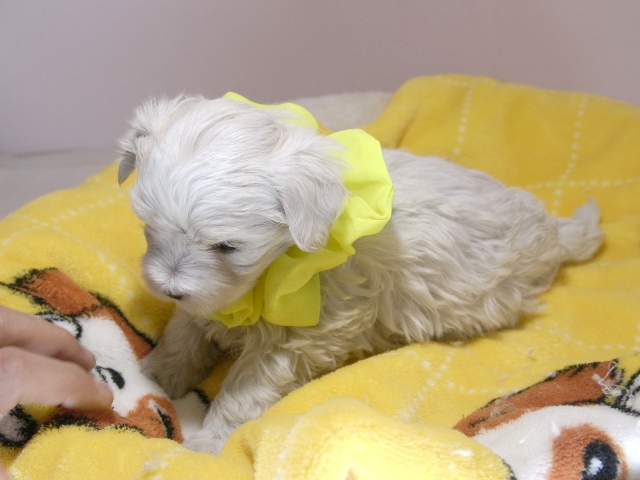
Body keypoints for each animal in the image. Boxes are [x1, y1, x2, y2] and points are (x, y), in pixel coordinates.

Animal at [118, 94, 604, 454]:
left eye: (226, 247)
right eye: (148, 228)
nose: (169, 287)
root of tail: (552, 232)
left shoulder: (301, 333)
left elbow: (246, 386)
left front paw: (211, 439)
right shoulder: (217, 299)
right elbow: (186, 332)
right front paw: (156, 372)